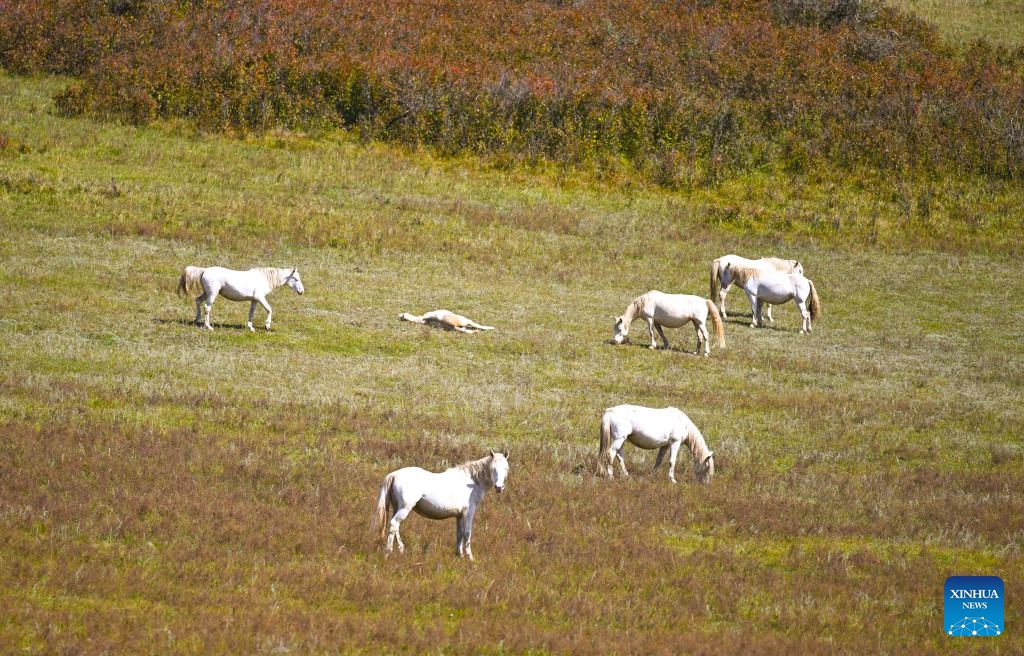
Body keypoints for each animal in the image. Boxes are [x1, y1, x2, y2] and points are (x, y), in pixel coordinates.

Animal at [374, 451, 509, 561]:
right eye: (493, 468)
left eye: (506, 468)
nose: (499, 487)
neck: (471, 482)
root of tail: (394, 475)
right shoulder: (468, 513)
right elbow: (467, 533)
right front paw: (470, 558)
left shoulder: (459, 515)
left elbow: (459, 534)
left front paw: (459, 555)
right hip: (404, 509)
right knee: (393, 525)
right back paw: (388, 552)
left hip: (397, 508)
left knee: (396, 527)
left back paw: (401, 550)